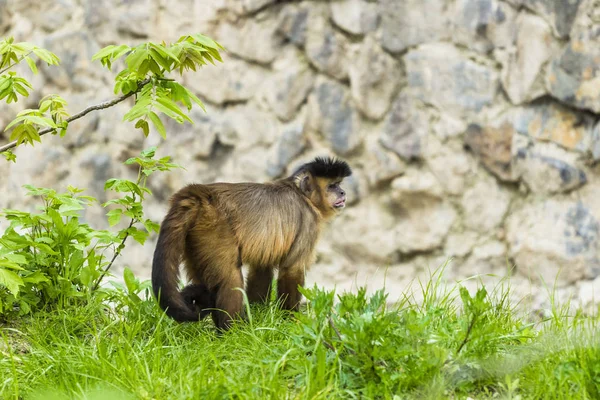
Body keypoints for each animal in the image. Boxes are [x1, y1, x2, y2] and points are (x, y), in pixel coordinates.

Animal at [150, 157, 354, 332]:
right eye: (332, 186)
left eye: (339, 184)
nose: (342, 192)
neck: (303, 196)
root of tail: (199, 195)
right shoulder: (308, 221)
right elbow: (291, 269)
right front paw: (289, 320)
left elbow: (261, 267)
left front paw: (258, 313)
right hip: (214, 227)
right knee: (230, 278)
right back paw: (231, 333)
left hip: (194, 239)